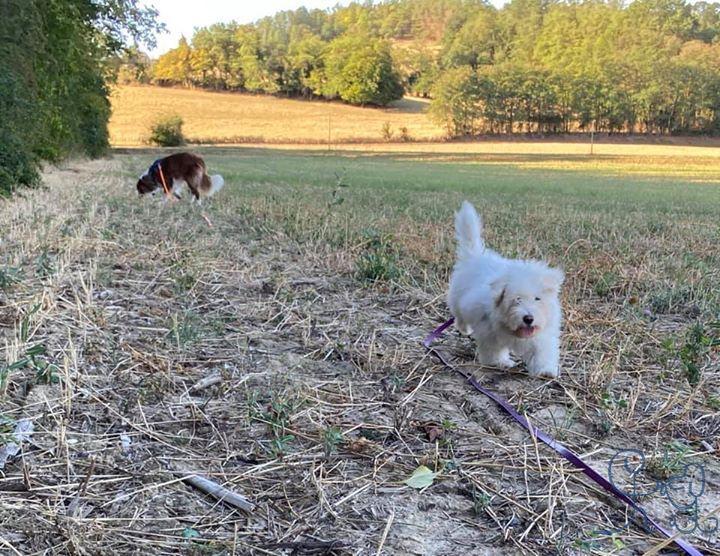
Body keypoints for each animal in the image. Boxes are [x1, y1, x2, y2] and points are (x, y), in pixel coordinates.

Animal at [450, 203, 564, 378]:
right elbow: (493, 350)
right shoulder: (489, 332)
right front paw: (499, 362)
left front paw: (545, 370)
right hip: (457, 298)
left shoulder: (542, 336)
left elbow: (542, 352)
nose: (528, 318)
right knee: (459, 315)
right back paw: (464, 328)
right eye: (517, 299)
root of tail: (474, 256)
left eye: (537, 299)